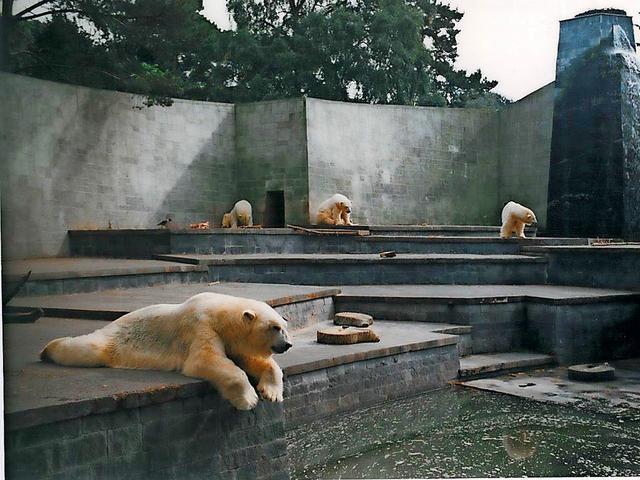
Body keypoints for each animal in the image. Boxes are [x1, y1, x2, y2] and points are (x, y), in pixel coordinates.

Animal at [40, 290, 290, 410]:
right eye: (274, 327)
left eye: (284, 327)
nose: (287, 345)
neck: (220, 314)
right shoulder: (201, 326)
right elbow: (204, 360)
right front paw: (249, 399)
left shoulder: (230, 340)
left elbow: (252, 360)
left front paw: (271, 393)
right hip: (114, 340)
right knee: (87, 347)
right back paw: (48, 350)